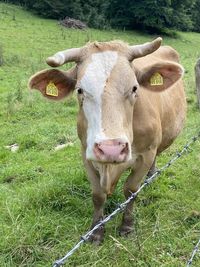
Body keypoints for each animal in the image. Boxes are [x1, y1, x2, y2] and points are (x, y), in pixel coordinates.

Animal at [28, 37, 187, 245]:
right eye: (80, 90)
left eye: (134, 88)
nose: (111, 149)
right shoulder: (86, 153)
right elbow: (98, 195)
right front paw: (96, 232)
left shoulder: (146, 153)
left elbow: (131, 190)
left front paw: (127, 226)